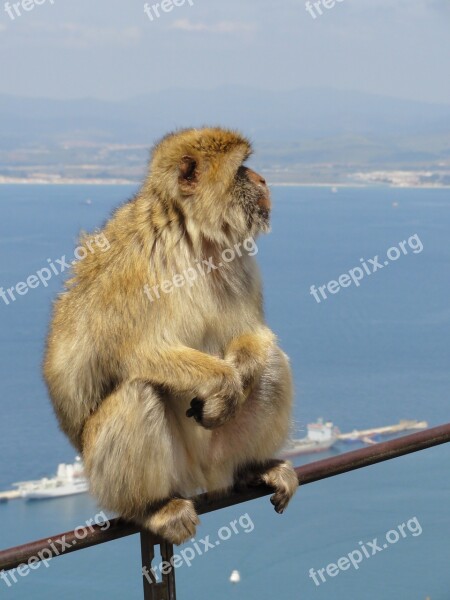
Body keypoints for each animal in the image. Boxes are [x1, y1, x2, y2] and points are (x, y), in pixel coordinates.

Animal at [43, 126, 298, 544]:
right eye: (241, 169)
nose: (262, 180)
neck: (192, 238)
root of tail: (205, 478)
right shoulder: (134, 268)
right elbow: (132, 353)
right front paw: (226, 382)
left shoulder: (237, 259)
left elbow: (252, 333)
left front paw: (241, 373)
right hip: (125, 474)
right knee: (137, 391)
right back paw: (152, 507)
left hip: (221, 451)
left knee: (272, 363)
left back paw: (253, 466)